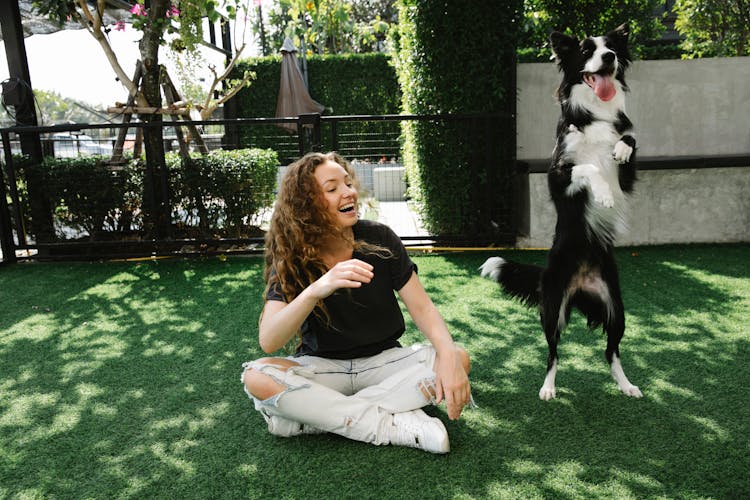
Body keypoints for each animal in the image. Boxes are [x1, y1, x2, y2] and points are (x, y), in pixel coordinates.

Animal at [484, 23, 644, 400]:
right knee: (552, 353)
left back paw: (626, 384)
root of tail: (581, 280)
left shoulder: (628, 177)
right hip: (552, 309)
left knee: (611, 352)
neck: (595, 113)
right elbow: (589, 167)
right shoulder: (557, 176)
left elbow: (629, 141)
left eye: (612, 47)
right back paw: (548, 387)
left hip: (617, 308)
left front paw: (620, 148)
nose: (609, 57)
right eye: (587, 50)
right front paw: (602, 196)